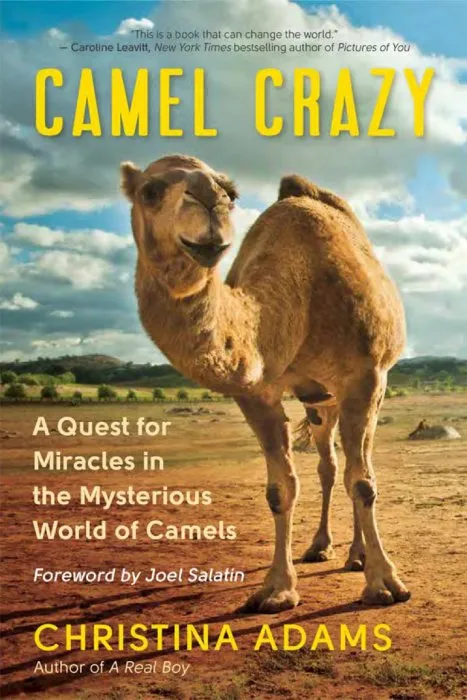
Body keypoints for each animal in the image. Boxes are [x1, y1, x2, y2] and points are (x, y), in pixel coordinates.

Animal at [121, 153, 411, 613]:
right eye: (149, 191)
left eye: (230, 191)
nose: (208, 198)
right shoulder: (257, 394)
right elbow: (280, 489)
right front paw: (277, 589)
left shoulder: (366, 375)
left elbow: (364, 482)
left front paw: (385, 583)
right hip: (319, 401)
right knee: (330, 465)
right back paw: (322, 546)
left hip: (366, 388)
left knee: (357, 466)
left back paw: (357, 555)